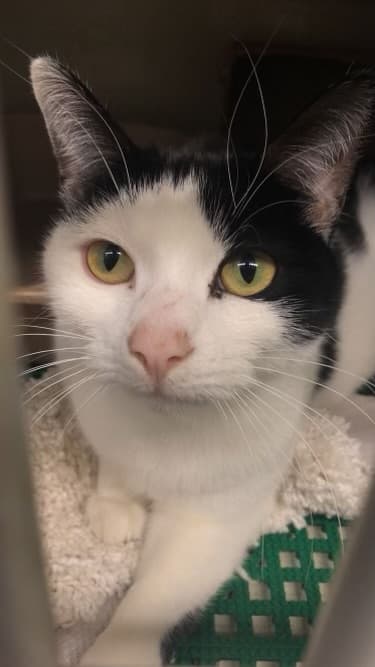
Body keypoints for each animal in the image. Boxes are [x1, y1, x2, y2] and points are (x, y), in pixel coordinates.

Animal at [30, 58, 375, 667]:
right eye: (109, 261)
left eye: (248, 272)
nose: (156, 345)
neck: (162, 433)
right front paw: (114, 503)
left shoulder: (218, 512)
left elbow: (157, 592)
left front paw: (114, 647)